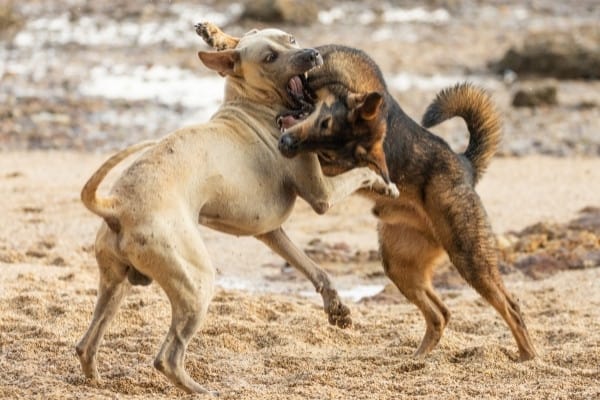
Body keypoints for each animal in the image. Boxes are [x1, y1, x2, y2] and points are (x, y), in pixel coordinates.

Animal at [78, 27, 398, 394]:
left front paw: (337, 311)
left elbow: (315, 270)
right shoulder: (322, 195)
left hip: (116, 284)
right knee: (167, 357)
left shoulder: (270, 233)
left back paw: (97, 381)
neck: (254, 106)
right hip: (196, 283)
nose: (313, 54)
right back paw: (203, 391)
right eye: (269, 57)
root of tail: (115, 206)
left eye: (290, 38)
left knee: (86, 344)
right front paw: (385, 184)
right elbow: (361, 173)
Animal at [202, 26, 540, 360]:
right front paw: (215, 35)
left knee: (510, 306)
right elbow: (241, 39)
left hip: (469, 256)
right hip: (400, 264)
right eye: (320, 123)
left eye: (328, 145)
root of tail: (465, 164)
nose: (286, 146)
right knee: (440, 313)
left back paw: (527, 357)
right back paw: (417, 360)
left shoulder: (326, 181)